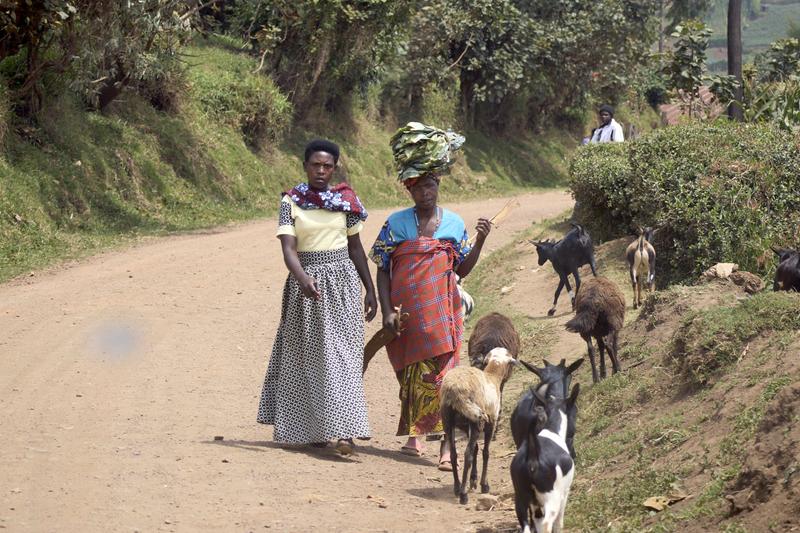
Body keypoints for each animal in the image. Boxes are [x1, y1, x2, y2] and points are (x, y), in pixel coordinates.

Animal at [438, 348, 520, 504]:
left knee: (453, 454)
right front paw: (483, 485)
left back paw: (457, 487)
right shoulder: (491, 422)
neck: (492, 376)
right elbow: (485, 452)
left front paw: (473, 480)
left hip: (448, 420)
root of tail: (455, 391)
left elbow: (476, 449)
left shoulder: (466, 426)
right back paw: (463, 495)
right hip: (476, 419)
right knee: (467, 455)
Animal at [512, 382, 580, 532]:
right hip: (551, 498)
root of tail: (533, 456)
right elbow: (559, 523)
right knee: (546, 523)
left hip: (520, 499)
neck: (552, 429)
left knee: (527, 526)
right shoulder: (564, 493)